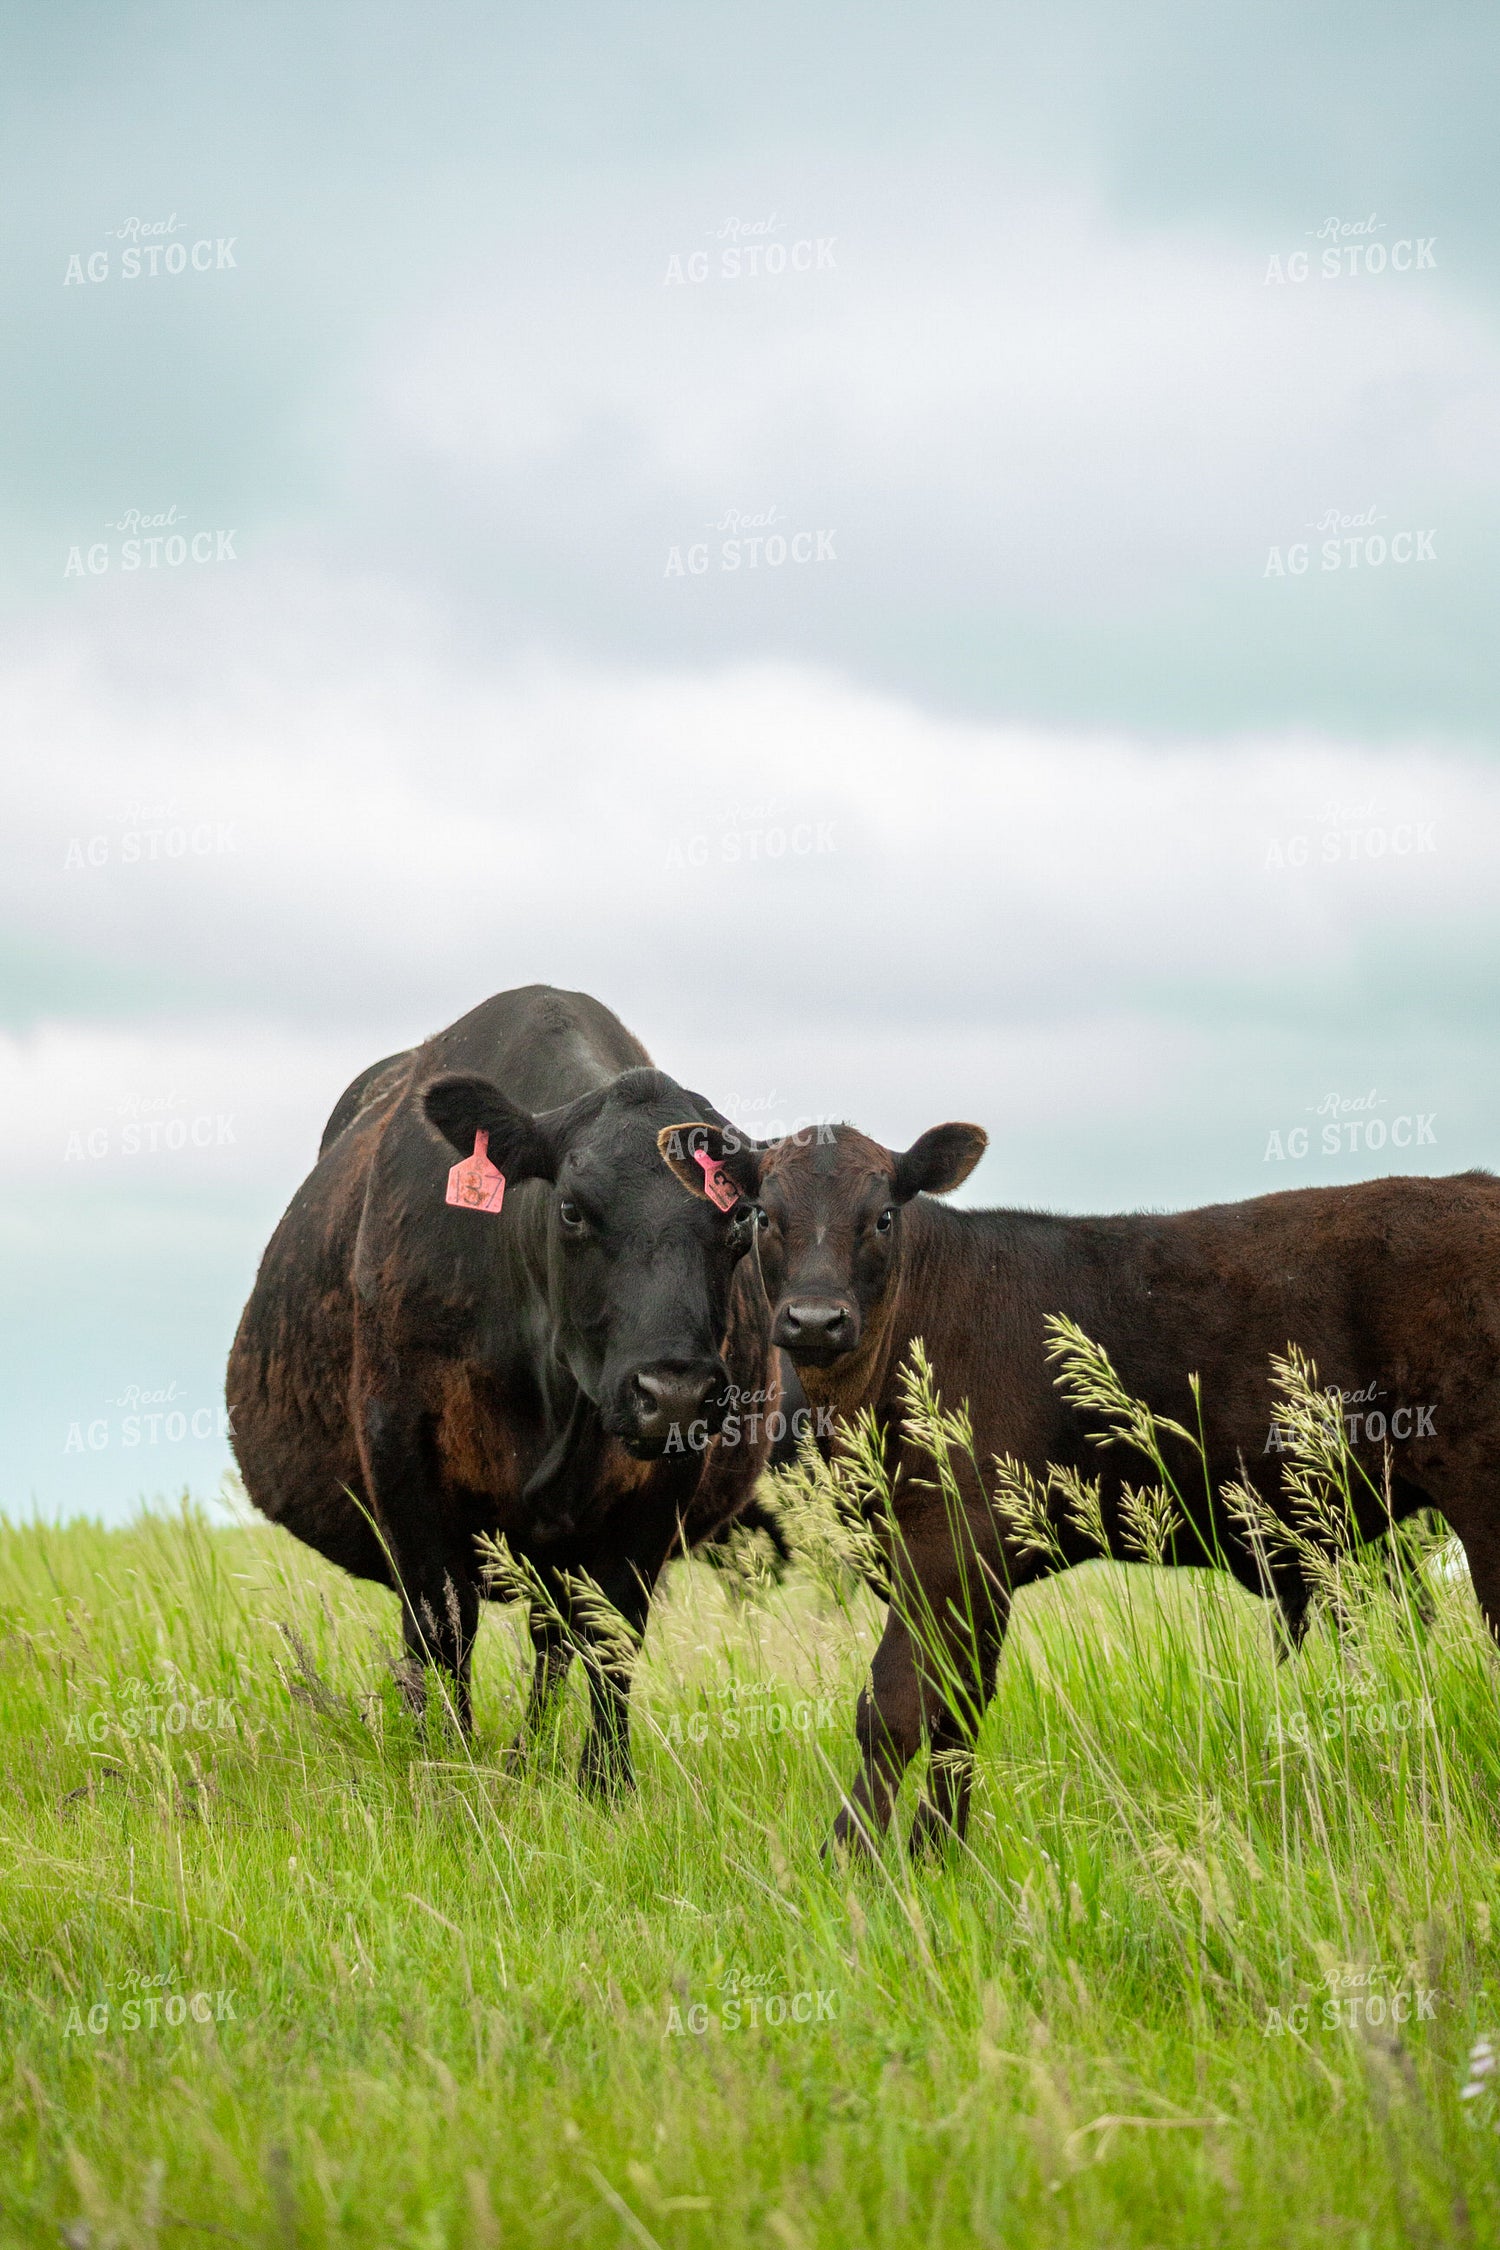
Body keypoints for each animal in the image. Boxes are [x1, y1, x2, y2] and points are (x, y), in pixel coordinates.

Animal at [227, 985, 774, 1793]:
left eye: (740, 1220)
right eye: (572, 1209)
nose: (672, 1392)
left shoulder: (666, 1477)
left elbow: (613, 1632)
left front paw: (605, 1783)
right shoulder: (400, 1445)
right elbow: (443, 1623)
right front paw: (443, 1759)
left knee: (556, 1636)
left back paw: (531, 1752)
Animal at [661, 1118, 1498, 1854]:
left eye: (884, 1216)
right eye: (761, 1213)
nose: (814, 1320)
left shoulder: (948, 1543)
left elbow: (894, 1707)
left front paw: (853, 1867)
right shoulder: (960, 1564)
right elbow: (959, 1706)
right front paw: (938, 1859)